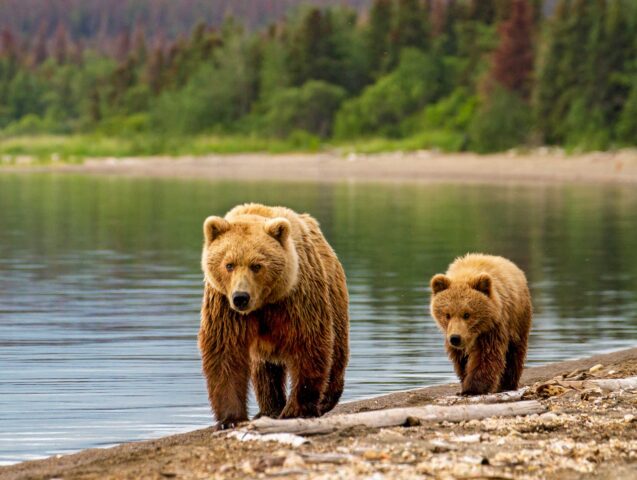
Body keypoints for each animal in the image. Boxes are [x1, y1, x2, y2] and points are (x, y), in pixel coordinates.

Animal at [198, 204, 348, 430]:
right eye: (229, 264)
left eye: (257, 265)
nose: (241, 297)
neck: (263, 303)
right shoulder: (225, 307)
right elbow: (225, 353)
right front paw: (230, 419)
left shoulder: (295, 299)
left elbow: (308, 344)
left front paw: (297, 409)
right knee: (264, 370)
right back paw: (269, 408)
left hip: (334, 298)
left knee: (336, 352)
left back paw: (326, 399)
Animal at [428, 253, 532, 396]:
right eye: (447, 315)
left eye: (467, 314)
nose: (455, 338)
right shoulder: (452, 335)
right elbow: (461, 360)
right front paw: (465, 381)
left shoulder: (493, 327)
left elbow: (486, 355)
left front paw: (473, 388)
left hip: (518, 320)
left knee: (515, 353)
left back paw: (507, 384)